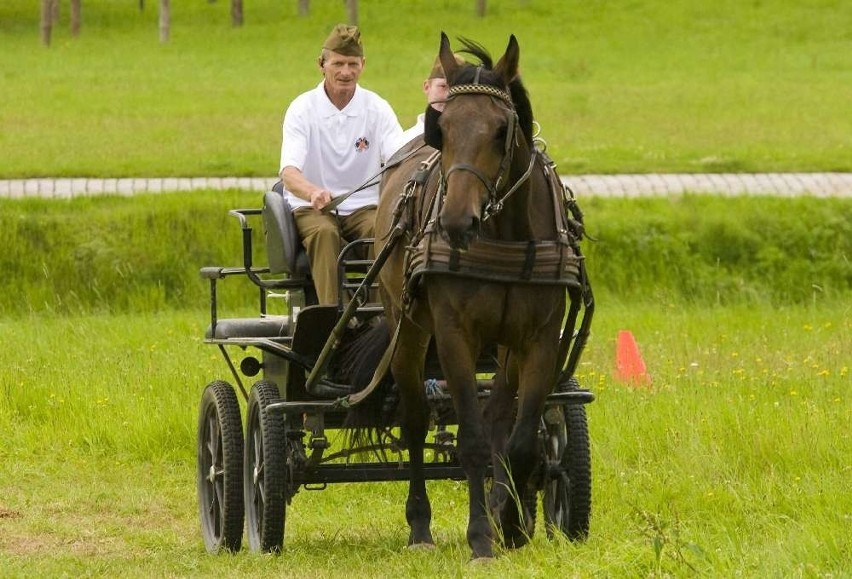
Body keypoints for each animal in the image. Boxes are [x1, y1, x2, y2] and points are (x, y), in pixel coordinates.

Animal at [346, 32, 584, 560]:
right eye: (445, 127)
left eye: (501, 129)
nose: (456, 221)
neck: (507, 234)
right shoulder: (455, 335)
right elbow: (471, 441)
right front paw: (480, 538)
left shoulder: (538, 340)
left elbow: (519, 441)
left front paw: (511, 522)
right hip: (407, 328)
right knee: (415, 419)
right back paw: (420, 528)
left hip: (503, 347)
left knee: (499, 419)